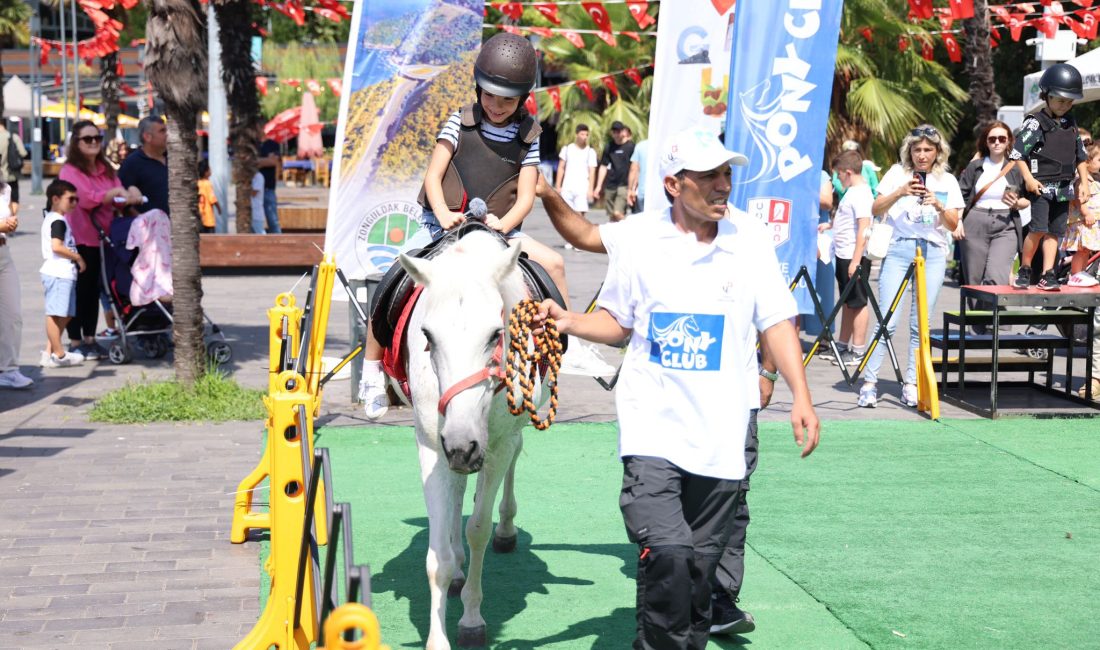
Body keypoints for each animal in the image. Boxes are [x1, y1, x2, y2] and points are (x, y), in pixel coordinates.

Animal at [400, 234, 545, 650]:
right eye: (428, 337)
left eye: (496, 334)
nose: (462, 444)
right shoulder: (433, 448)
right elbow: (438, 559)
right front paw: (438, 638)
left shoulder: (495, 446)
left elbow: (478, 529)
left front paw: (471, 619)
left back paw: (505, 529)